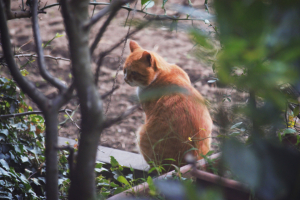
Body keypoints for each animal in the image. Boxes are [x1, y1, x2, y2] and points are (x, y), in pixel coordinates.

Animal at [123, 41, 212, 170]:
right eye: (124, 70)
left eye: (134, 73)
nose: (125, 79)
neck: (163, 73)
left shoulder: (148, 114)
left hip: (142, 133)